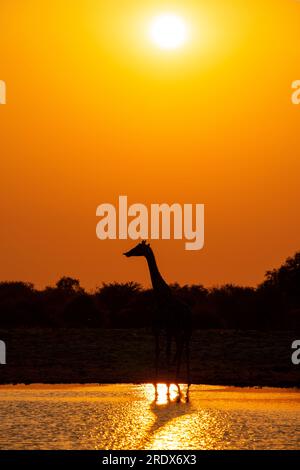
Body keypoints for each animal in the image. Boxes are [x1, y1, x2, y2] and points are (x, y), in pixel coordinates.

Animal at [123, 239, 192, 396]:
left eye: (139, 247)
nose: (127, 253)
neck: (160, 297)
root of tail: (188, 310)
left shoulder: (165, 327)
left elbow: (165, 351)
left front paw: (165, 385)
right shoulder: (159, 328)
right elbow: (159, 351)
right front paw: (158, 384)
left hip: (183, 328)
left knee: (184, 348)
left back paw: (183, 380)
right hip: (180, 329)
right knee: (181, 346)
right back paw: (179, 379)